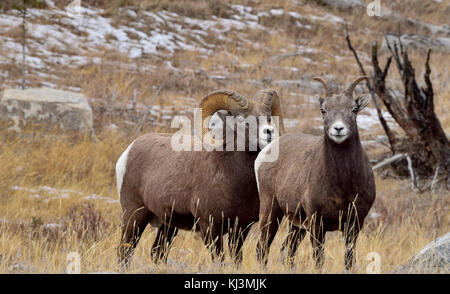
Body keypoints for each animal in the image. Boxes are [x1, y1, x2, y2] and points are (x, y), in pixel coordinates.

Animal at [116, 88, 284, 266]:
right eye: (241, 120)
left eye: (268, 117)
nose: (269, 132)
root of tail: (129, 151)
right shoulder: (210, 228)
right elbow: (219, 260)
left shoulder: (240, 229)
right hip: (134, 216)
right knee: (124, 252)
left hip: (168, 226)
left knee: (157, 252)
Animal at [255, 77, 374, 270]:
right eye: (323, 110)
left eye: (354, 109)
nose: (338, 129)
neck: (343, 185)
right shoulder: (317, 223)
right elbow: (319, 259)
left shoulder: (354, 223)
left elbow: (349, 260)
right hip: (271, 210)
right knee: (262, 248)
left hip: (296, 225)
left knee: (287, 251)